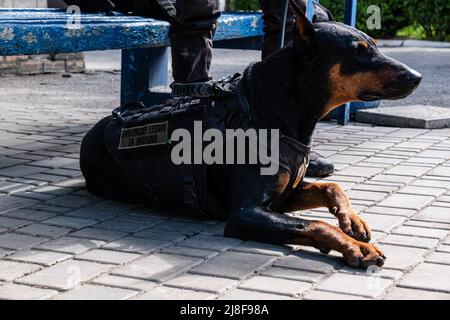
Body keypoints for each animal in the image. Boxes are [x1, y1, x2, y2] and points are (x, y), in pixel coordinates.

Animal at [81, 1, 422, 268]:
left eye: (374, 44)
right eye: (358, 52)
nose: (416, 77)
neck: (275, 109)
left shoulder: (284, 196)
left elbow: (331, 186)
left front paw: (352, 220)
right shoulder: (246, 213)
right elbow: (316, 224)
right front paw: (357, 248)